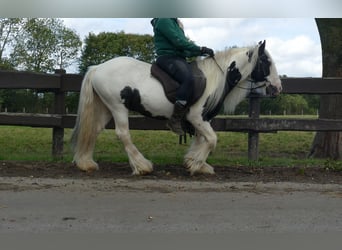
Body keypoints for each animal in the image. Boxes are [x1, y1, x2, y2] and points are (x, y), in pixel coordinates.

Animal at [71, 40, 282, 175]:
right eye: (266, 61)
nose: (278, 88)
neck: (216, 78)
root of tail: (97, 68)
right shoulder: (196, 117)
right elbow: (212, 139)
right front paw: (195, 164)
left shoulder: (201, 119)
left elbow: (202, 140)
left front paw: (195, 162)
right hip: (118, 107)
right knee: (123, 134)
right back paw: (142, 166)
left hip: (106, 108)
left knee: (93, 130)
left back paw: (86, 163)